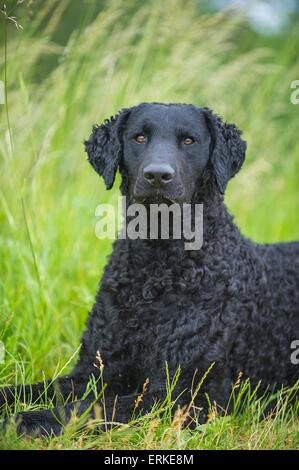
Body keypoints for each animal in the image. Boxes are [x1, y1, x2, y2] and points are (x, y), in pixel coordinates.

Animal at [0, 103, 299, 436]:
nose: (157, 175)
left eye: (189, 140)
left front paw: (24, 420)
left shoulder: (184, 395)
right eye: (139, 137)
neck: (156, 271)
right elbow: (31, 390)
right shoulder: (93, 372)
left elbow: (89, 408)